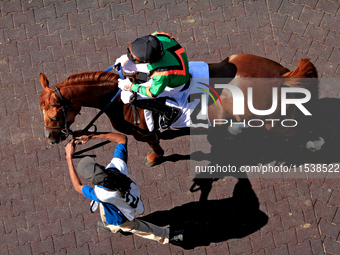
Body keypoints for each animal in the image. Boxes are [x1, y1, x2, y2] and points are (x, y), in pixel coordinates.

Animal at [39, 54, 318, 165]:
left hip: (272, 121)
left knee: (296, 130)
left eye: (53, 113)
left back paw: (313, 143)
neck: (117, 100)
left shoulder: (143, 132)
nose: (51, 138)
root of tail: (283, 75)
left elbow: (154, 144)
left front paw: (156, 157)